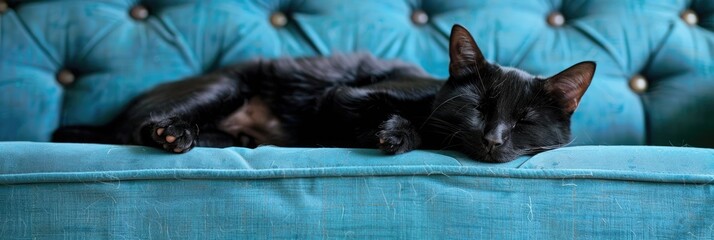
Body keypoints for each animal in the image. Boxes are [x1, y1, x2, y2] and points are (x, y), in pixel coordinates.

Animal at [52, 24, 592, 163]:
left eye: (524, 120)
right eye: (478, 106)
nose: (494, 138)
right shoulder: (338, 98)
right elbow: (408, 122)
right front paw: (396, 134)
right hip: (224, 85)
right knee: (138, 130)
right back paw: (173, 134)